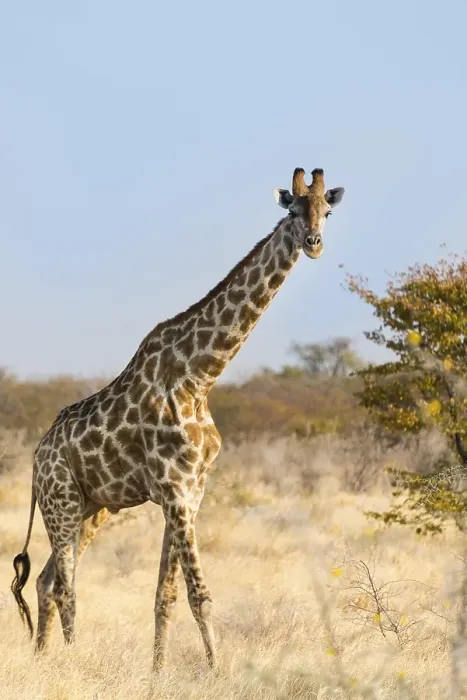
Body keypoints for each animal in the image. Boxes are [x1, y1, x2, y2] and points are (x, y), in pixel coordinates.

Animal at [11, 166, 345, 670]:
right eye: (292, 210)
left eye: (327, 210)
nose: (314, 242)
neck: (200, 375)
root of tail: (36, 457)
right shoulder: (175, 489)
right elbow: (199, 596)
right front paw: (218, 673)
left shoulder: (192, 490)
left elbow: (164, 596)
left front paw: (157, 674)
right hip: (61, 502)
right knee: (67, 586)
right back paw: (69, 659)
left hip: (92, 508)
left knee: (47, 580)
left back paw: (43, 658)